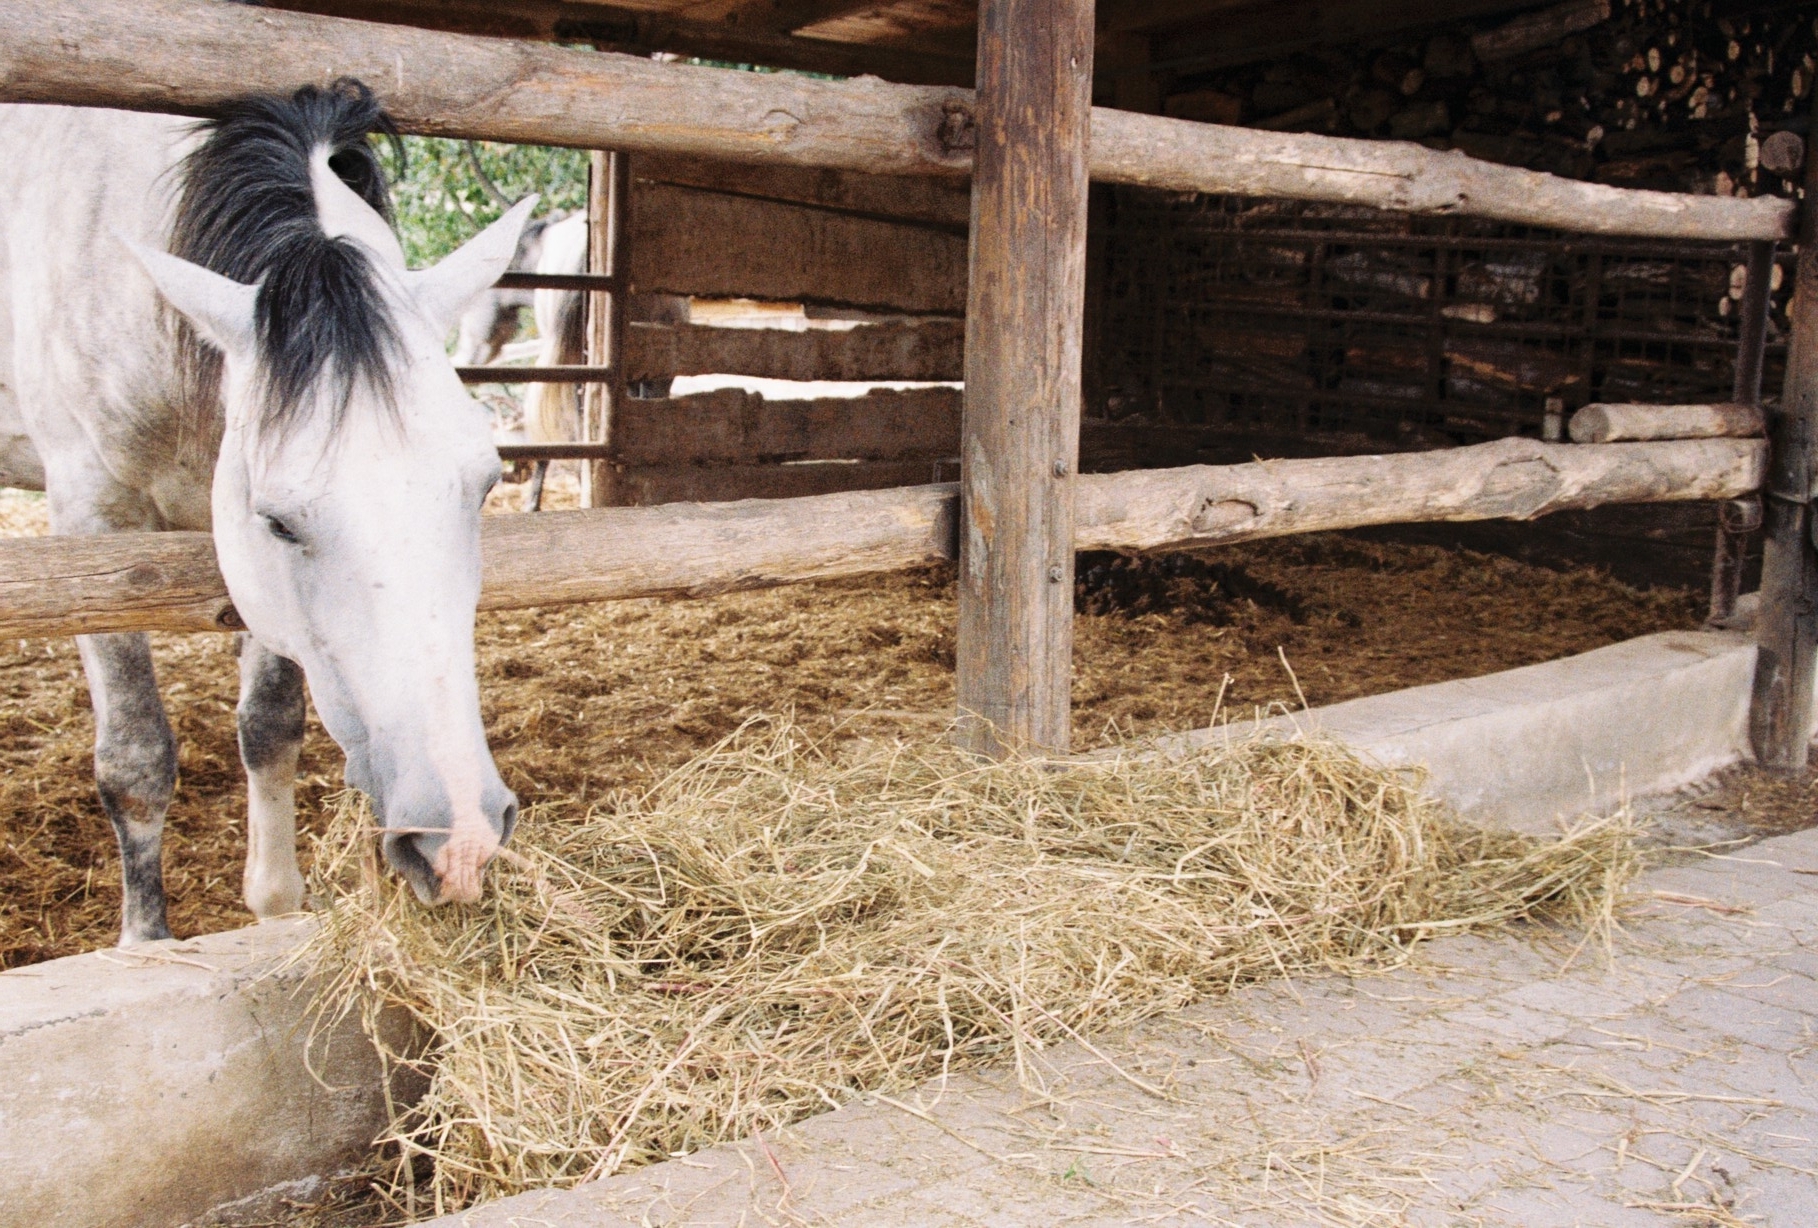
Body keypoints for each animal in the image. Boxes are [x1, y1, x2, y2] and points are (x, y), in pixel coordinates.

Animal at [0, 79, 534, 938]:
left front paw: (275, 906)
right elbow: (136, 759)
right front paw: (143, 942)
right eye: (279, 521)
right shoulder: (93, 525)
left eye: (485, 484)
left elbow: (269, 729)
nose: (459, 842)